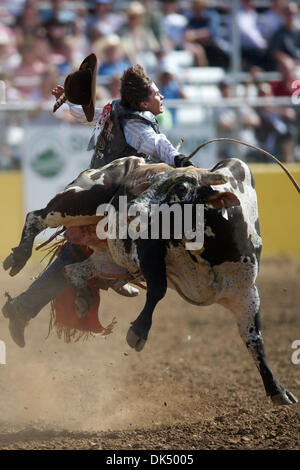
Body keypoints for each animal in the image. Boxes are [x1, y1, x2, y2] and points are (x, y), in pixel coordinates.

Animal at [1, 154, 298, 404]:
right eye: (151, 182)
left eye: (181, 188)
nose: (131, 208)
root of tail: (124, 161)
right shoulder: (150, 249)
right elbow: (158, 288)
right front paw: (138, 332)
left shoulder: (246, 292)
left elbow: (255, 340)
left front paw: (278, 390)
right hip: (76, 202)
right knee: (36, 217)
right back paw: (18, 258)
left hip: (107, 255)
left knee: (73, 270)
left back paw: (83, 298)